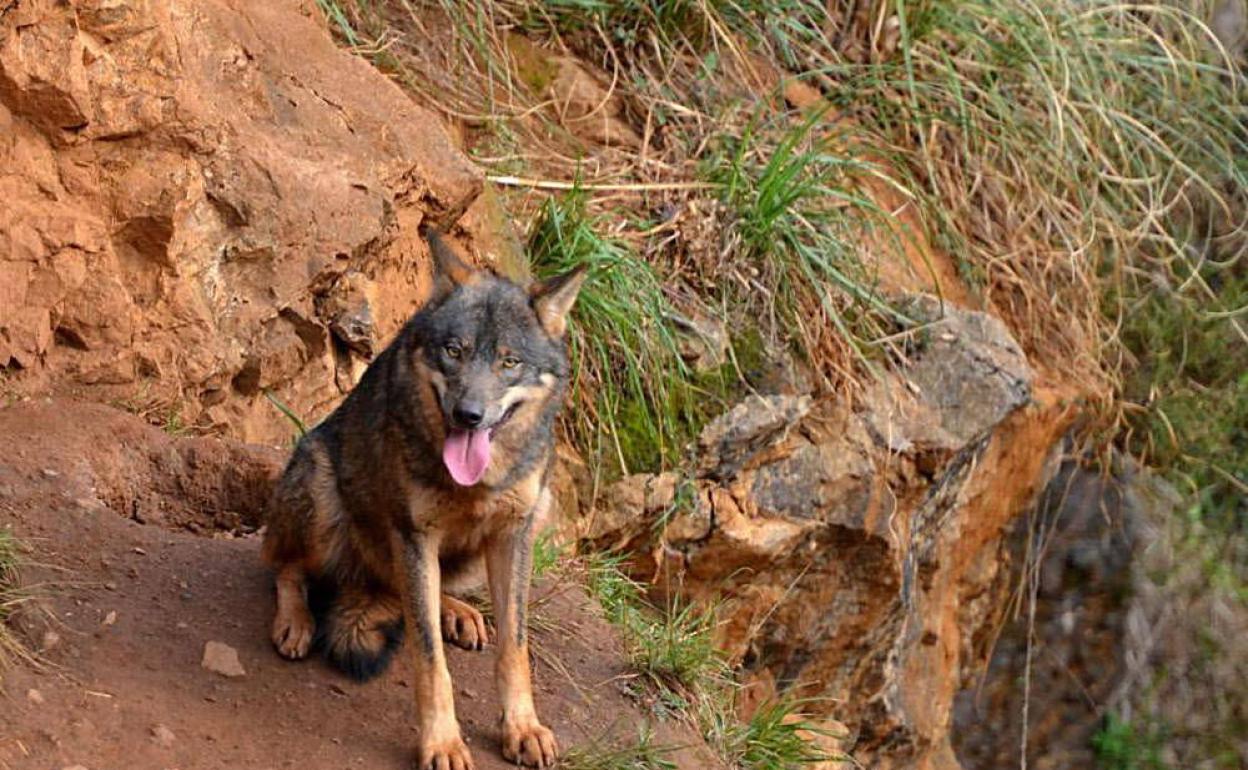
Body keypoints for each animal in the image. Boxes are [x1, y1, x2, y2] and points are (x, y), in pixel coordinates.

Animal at [259, 229, 589, 768]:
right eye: (454, 351)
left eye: (509, 362)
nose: (469, 414)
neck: (476, 481)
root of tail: (364, 580)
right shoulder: (414, 535)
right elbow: (429, 657)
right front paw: (442, 742)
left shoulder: (514, 533)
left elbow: (514, 647)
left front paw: (522, 727)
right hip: (322, 486)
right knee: (283, 565)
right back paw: (295, 622)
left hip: (506, 532)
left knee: (419, 593)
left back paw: (458, 611)